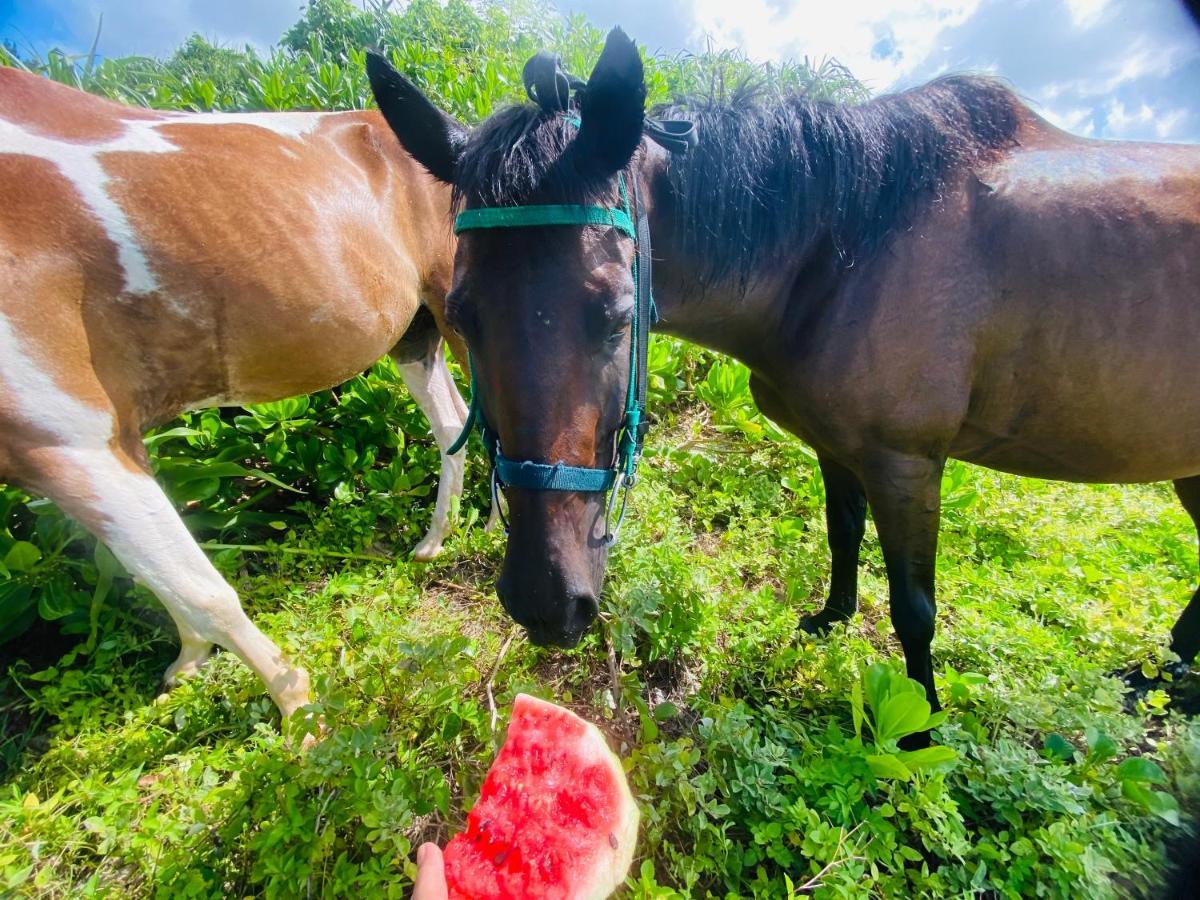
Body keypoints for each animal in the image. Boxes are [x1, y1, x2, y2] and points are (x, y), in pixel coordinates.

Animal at [1, 65, 477, 724]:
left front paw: (301, 716)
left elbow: (204, 591)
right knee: (452, 424)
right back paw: (437, 538)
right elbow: (158, 577)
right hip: (414, 331)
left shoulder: (73, 439)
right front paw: (190, 662)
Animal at [367, 30, 1200, 720]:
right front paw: (829, 621)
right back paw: (1155, 681)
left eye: (617, 312)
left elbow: (914, 608)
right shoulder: (838, 443)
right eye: (463, 315)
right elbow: (841, 533)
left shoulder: (906, 461)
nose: (545, 601)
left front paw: (919, 728)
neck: (847, 242)